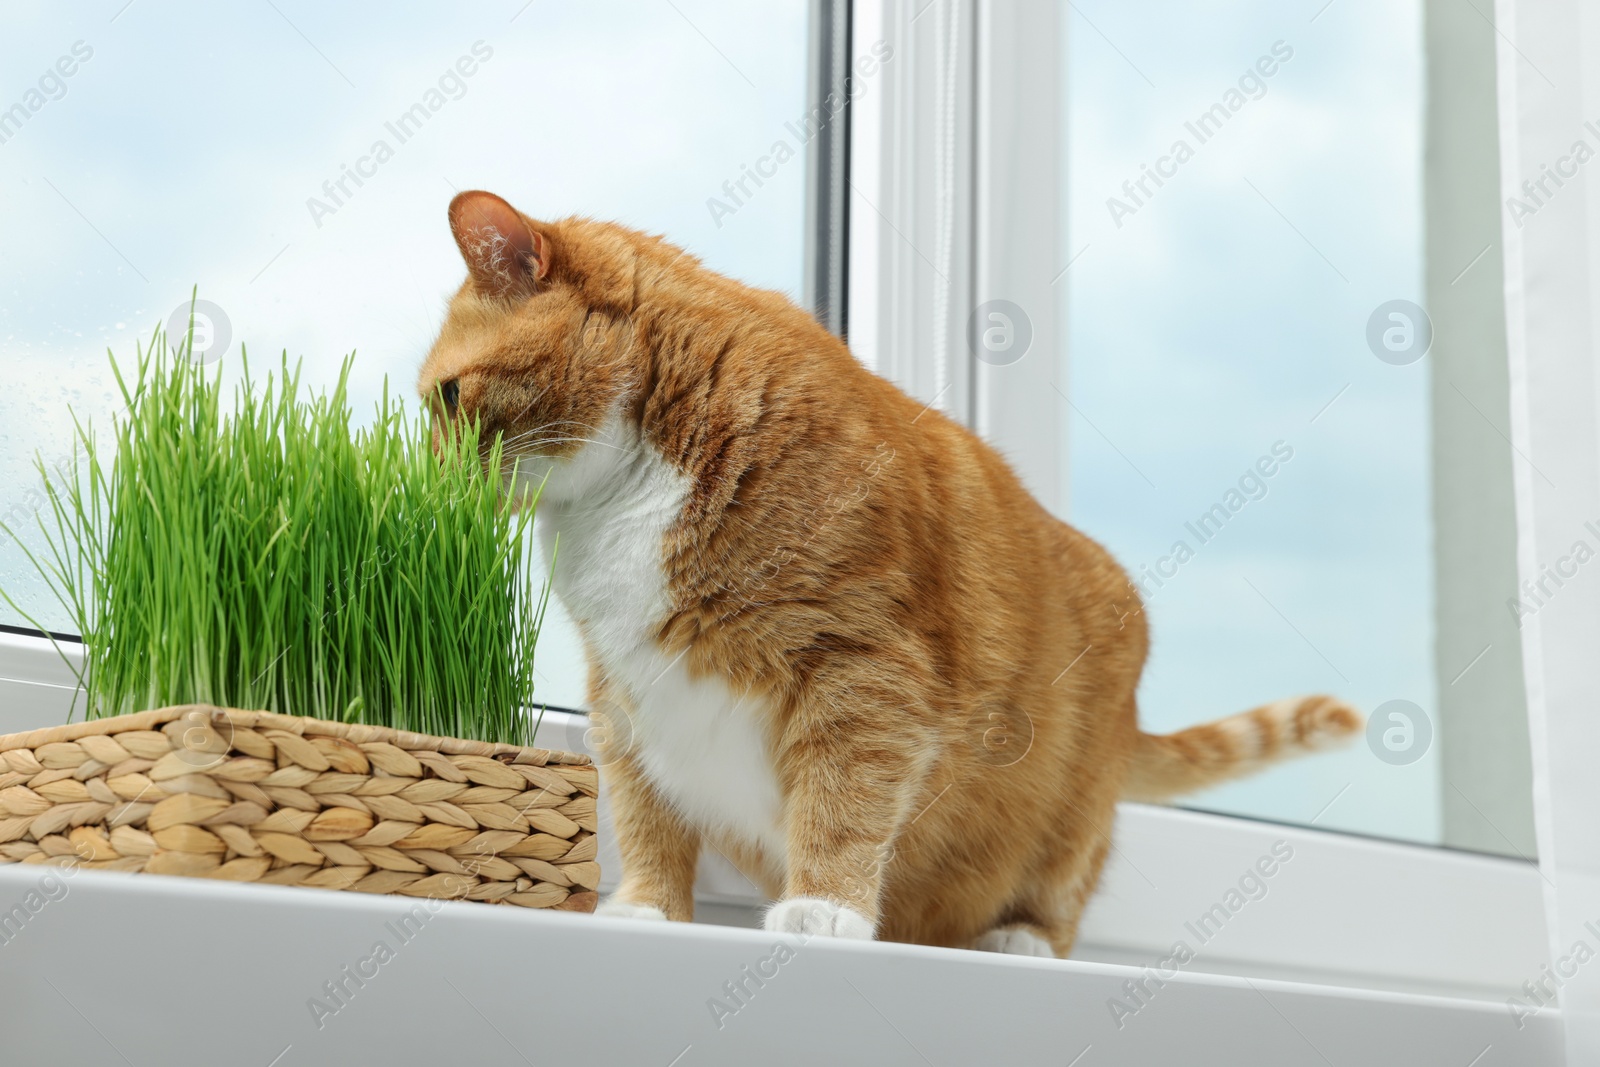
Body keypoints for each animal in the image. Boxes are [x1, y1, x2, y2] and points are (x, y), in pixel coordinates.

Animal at [419, 191, 1356, 959]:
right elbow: (646, 816)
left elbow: (845, 799)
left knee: (1063, 888)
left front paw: (826, 906)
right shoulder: (623, 694)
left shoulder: (862, 667)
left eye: (448, 399)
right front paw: (649, 909)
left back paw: (1017, 937)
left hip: (1072, 817)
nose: (427, 477)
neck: (627, 491)